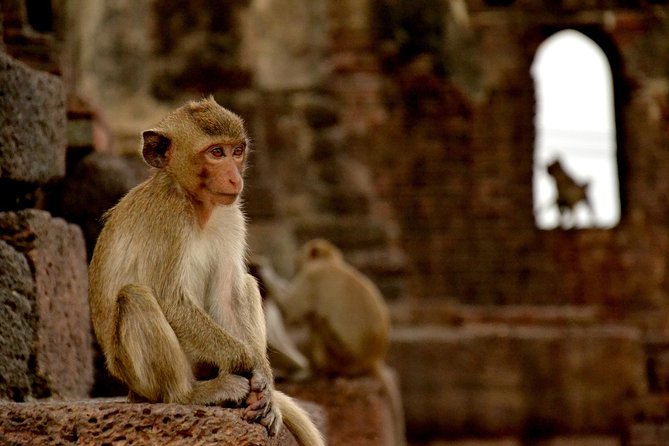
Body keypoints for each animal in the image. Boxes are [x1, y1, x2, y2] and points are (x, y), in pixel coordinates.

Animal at [88, 97, 323, 446]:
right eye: (216, 153)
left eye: (236, 151)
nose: (235, 178)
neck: (197, 205)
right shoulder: (168, 216)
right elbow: (171, 300)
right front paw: (249, 365)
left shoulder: (231, 215)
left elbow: (227, 292)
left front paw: (264, 381)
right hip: (137, 375)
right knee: (135, 297)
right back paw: (189, 394)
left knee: (246, 283)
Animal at [279, 239, 406, 446]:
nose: (296, 261)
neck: (330, 262)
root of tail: (373, 360)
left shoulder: (312, 277)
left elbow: (290, 313)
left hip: (340, 356)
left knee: (318, 321)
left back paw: (315, 373)